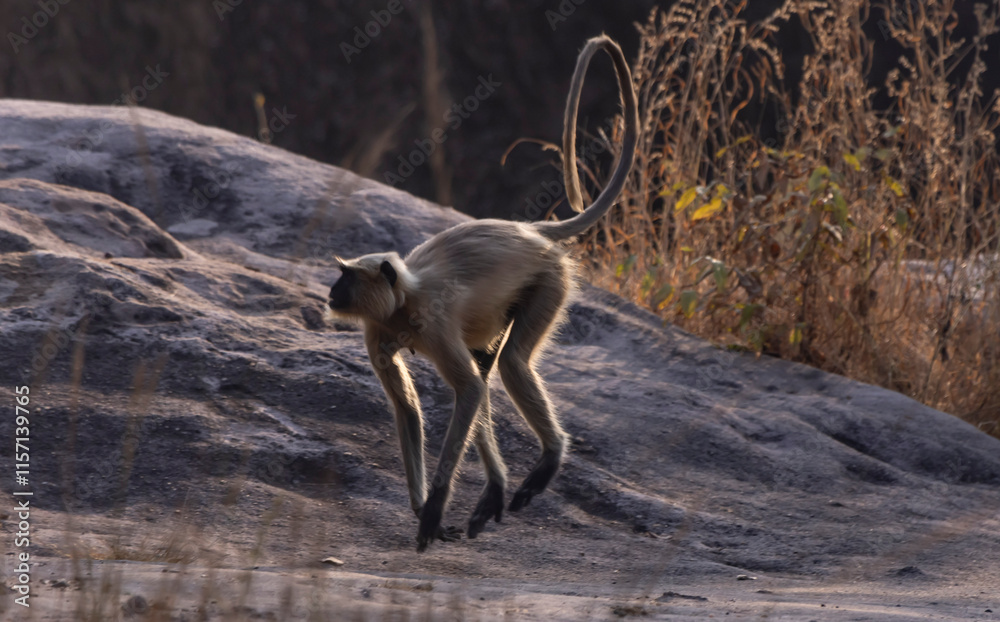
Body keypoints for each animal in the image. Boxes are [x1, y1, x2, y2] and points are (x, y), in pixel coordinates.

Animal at [328, 35, 638, 552]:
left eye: (347, 278)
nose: (332, 293)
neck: (403, 302)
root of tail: (530, 231)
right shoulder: (377, 329)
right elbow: (409, 409)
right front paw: (423, 508)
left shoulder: (432, 320)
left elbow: (468, 389)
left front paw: (434, 507)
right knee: (487, 371)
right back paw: (495, 488)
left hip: (550, 280)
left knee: (506, 366)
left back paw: (550, 457)